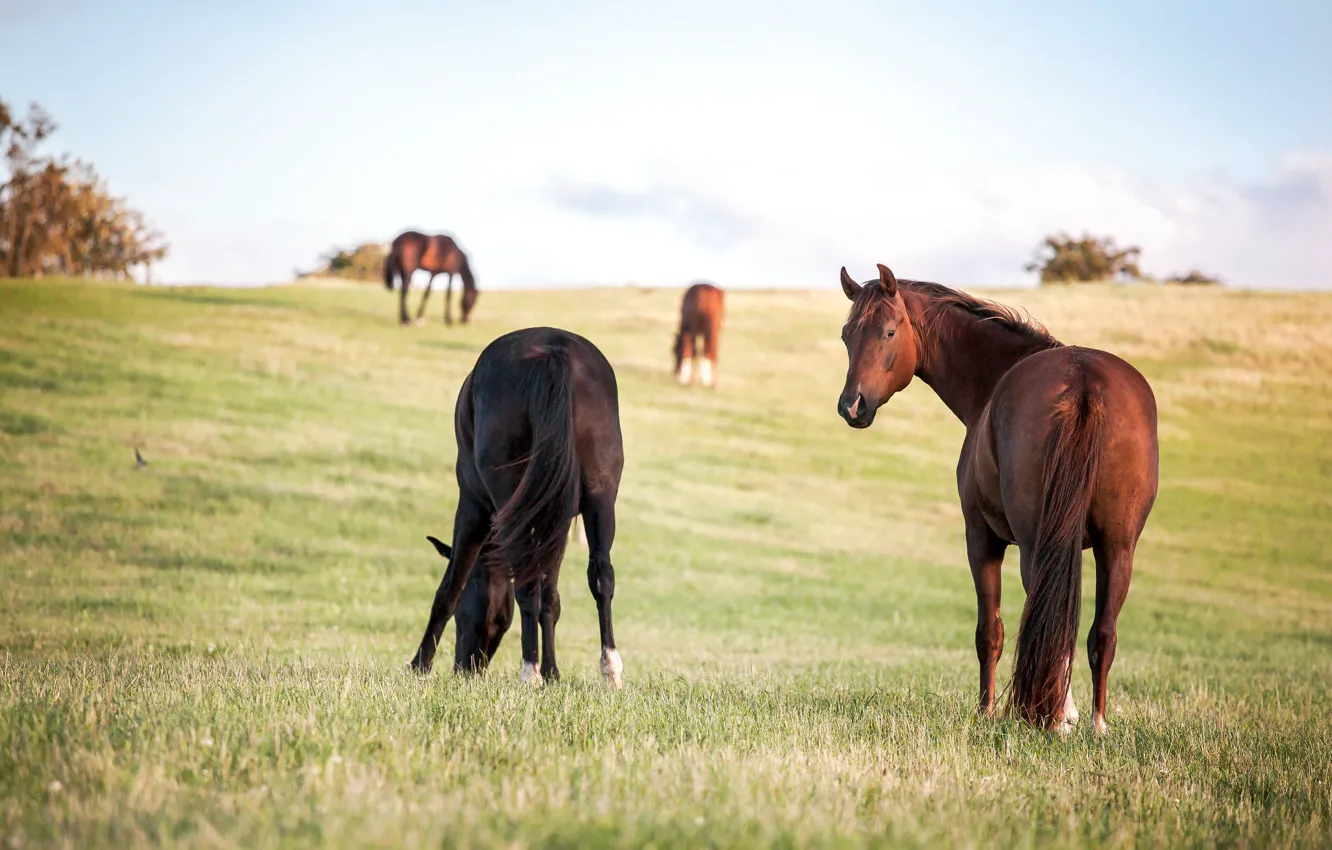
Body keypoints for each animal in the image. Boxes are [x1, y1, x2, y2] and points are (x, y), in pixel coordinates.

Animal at [408, 327, 626, 687]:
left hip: (504, 499)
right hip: (600, 499)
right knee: (601, 576)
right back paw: (610, 670)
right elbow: (551, 598)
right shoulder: (557, 524)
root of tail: (553, 352)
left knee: (525, 583)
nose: (465, 668)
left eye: (463, 615)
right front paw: (553, 672)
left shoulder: (473, 509)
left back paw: (529, 671)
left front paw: (420, 664)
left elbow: (450, 586)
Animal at [836, 264, 1158, 734]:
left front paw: (988, 710)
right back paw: (1095, 723)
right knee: (1102, 632)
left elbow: (990, 631)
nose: (852, 406)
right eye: (847, 335)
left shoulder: (981, 537)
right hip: (1118, 547)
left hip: (1035, 544)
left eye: (889, 332)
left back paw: (1054, 717)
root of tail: (1084, 382)